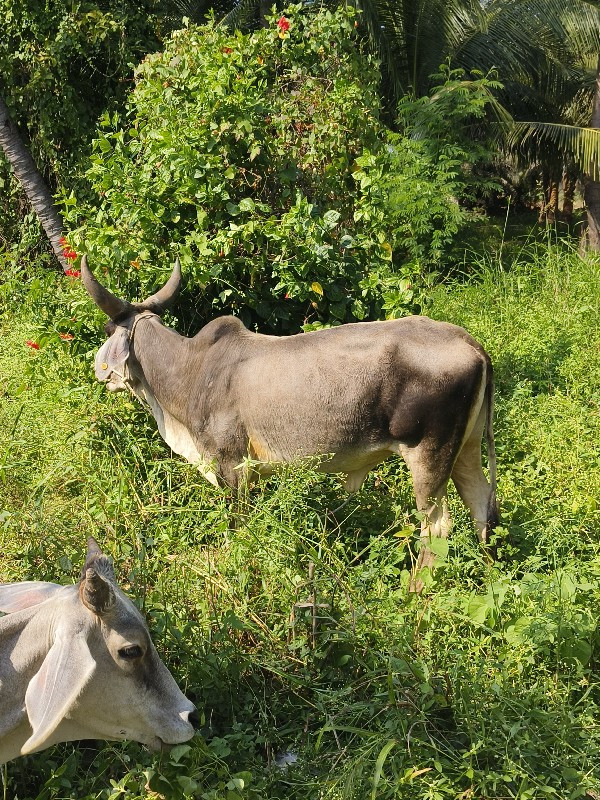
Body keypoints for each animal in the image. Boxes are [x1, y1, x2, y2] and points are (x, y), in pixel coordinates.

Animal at [82, 260, 500, 580]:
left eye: (107, 330)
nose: (96, 371)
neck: (193, 370)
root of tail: (472, 345)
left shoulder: (231, 466)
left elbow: (237, 526)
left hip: (429, 456)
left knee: (438, 527)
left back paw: (416, 592)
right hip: (466, 448)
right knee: (482, 504)